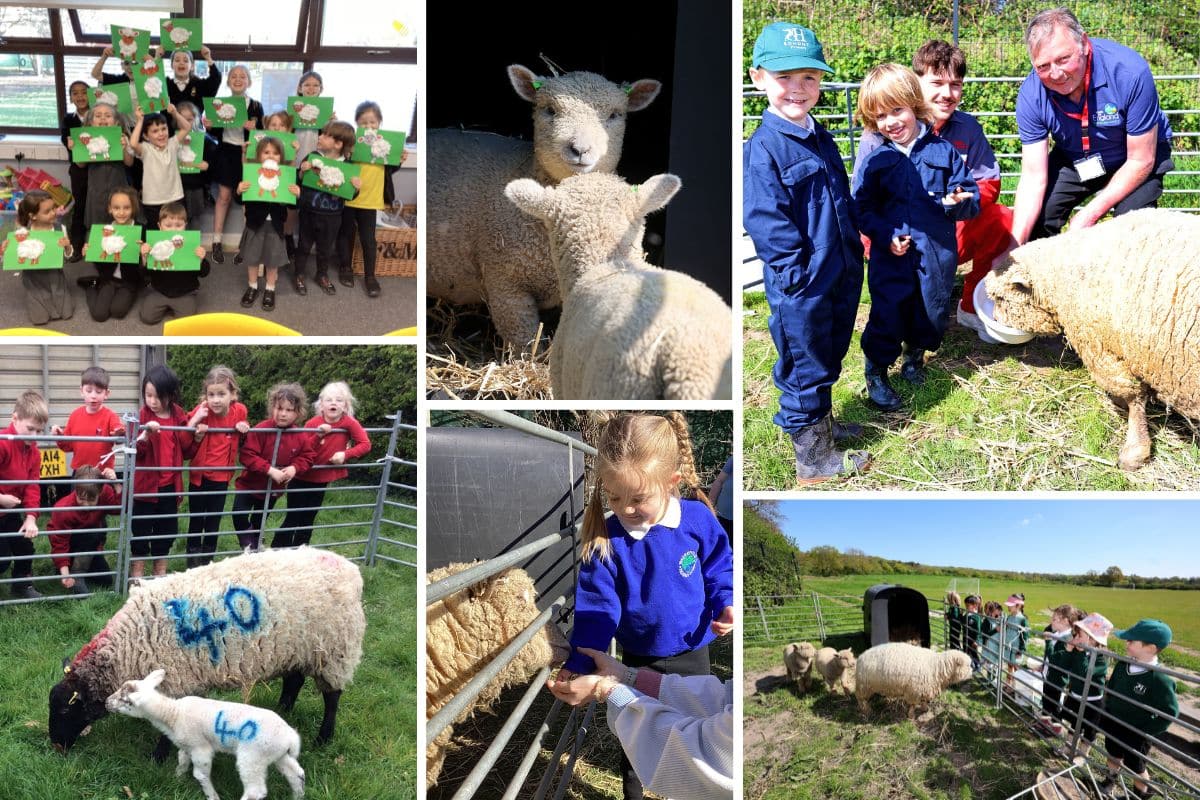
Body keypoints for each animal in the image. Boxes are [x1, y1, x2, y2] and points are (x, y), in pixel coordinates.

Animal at [49, 547, 365, 754]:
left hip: (335, 651)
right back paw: (282, 710)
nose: (55, 745)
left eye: (64, 710)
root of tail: (350, 569)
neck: (127, 649)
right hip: (295, 647)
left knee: (332, 697)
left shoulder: (175, 680)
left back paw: (324, 738)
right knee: (294, 680)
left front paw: (158, 757)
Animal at [107, 669, 305, 800]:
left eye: (125, 700)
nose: (107, 702)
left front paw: (212, 796)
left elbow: (200, 775)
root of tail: (290, 737)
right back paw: (298, 796)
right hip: (277, 754)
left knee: (255, 791)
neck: (172, 714)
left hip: (253, 756)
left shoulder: (200, 748)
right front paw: (177, 778)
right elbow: (182, 761)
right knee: (297, 773)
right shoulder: (186, 746)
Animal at [986, 209, 1200, 470]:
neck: (1062, 281)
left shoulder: (1102, 348)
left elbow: (1133, 397)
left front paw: (1134, 451)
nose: (995, 319)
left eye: (1001, 298)